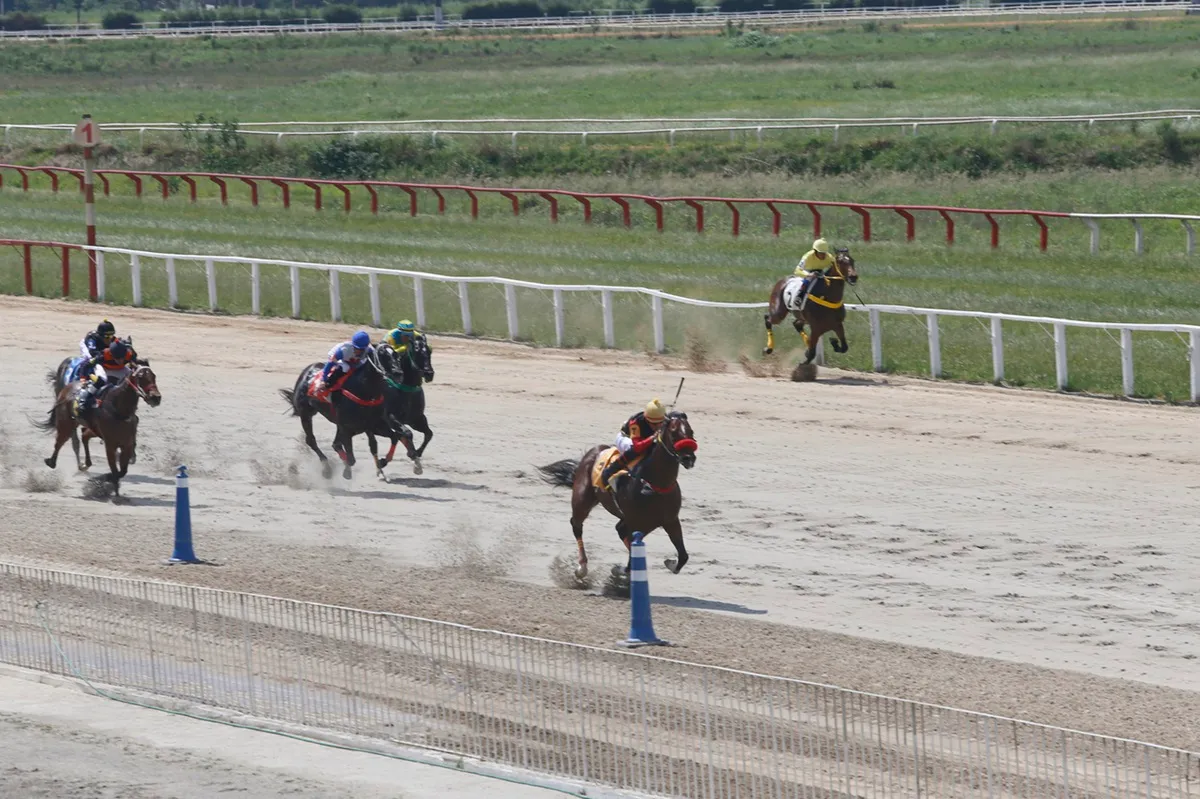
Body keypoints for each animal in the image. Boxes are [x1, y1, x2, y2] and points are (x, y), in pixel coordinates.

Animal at [36, 362, 162, 491]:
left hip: (92, 429)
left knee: (84, 436)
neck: (118, 409)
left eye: (154, 376)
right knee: (61, 442)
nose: (156, 397)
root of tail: (67, 387)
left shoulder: (126, 444)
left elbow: (121, 471)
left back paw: (85, 464)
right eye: (140, 377)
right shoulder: (110, 445)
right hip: (66, 423)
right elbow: (116, 472)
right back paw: (52, 462)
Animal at [278, 355, 415, 479]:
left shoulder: (374, 425)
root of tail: (307, 371)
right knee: (311, 440)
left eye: (396, 355)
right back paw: (327, 469)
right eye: (383, 355)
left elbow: (392, 437)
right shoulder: (349, 428)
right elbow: (351, 457)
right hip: (306, 414)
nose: (398, 373)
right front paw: (347, 472)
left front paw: (382, 463)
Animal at [540, 410, 700, 578]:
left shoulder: (670, 521)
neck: (656, 485)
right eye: (674, 432)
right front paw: (620, 570)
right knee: (576, 525)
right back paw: (582, 567)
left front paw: (670, 563)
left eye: (691, 431)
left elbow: (683, 556)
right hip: (582, 500)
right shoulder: (637, 523)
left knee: (619, 529)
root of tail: (594, 451)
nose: (689, 458)